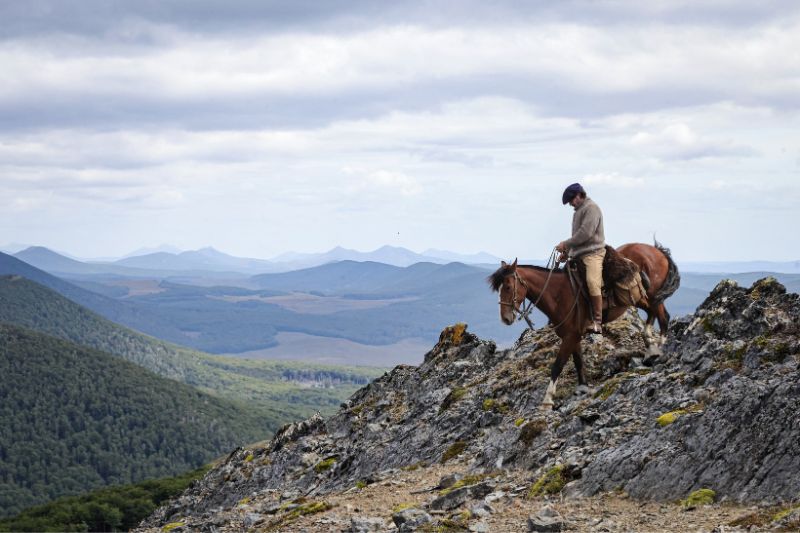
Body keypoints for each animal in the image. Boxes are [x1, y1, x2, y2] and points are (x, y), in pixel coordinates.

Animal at [487, 241, 680, 409]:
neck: (559, 293)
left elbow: (557, 365)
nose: (506, 318)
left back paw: (659, 350)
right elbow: (578, 361)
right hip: (642, 299)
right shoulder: (573, 335)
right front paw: (583, 387)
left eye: (508, 287)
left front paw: (547, 401)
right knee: (654, 314)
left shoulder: (570, 336)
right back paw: (650, 346)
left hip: (651, 297)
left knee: (663, 318)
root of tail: (657, 251)